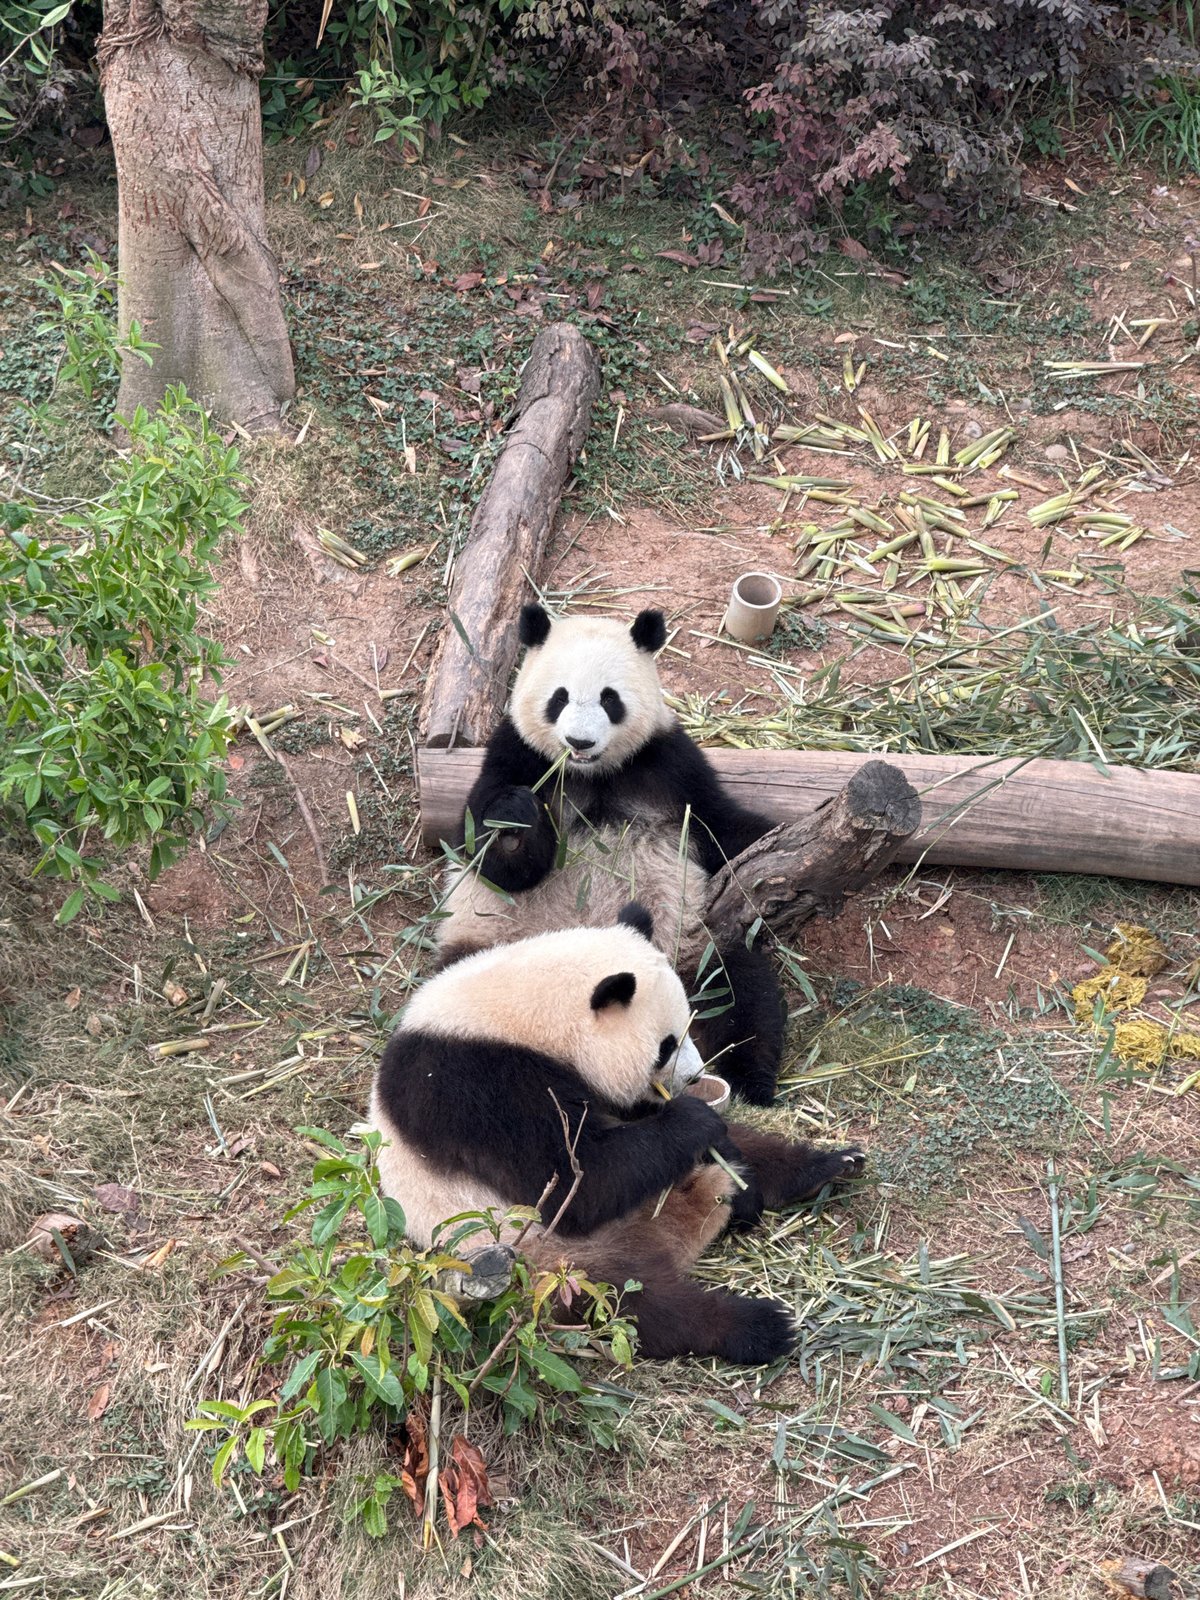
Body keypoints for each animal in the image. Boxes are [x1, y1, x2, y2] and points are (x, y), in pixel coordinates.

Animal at [368, 904, 865, 1364]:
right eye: (666, 1045)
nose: (694, 1077)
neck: (515, 1012)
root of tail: (674, 1237)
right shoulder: (471, 1084)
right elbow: (576, 1183)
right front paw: (693, 1118)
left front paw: (737, 1169)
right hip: (551, 1265)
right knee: (637, 1305)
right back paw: (758, 1326)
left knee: (747, 1147)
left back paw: (819, 1169)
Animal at [434, 602, 786, 1105]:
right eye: (559, 697)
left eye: (609, 699)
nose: (579, 742)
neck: (593, 774)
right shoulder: (515, 755)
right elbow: (492, 859)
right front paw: (515, 820)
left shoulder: (670, 766)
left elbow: (723, 827)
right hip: (486, 949)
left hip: (692, 947)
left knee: (741, 993)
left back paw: (750, 1083)